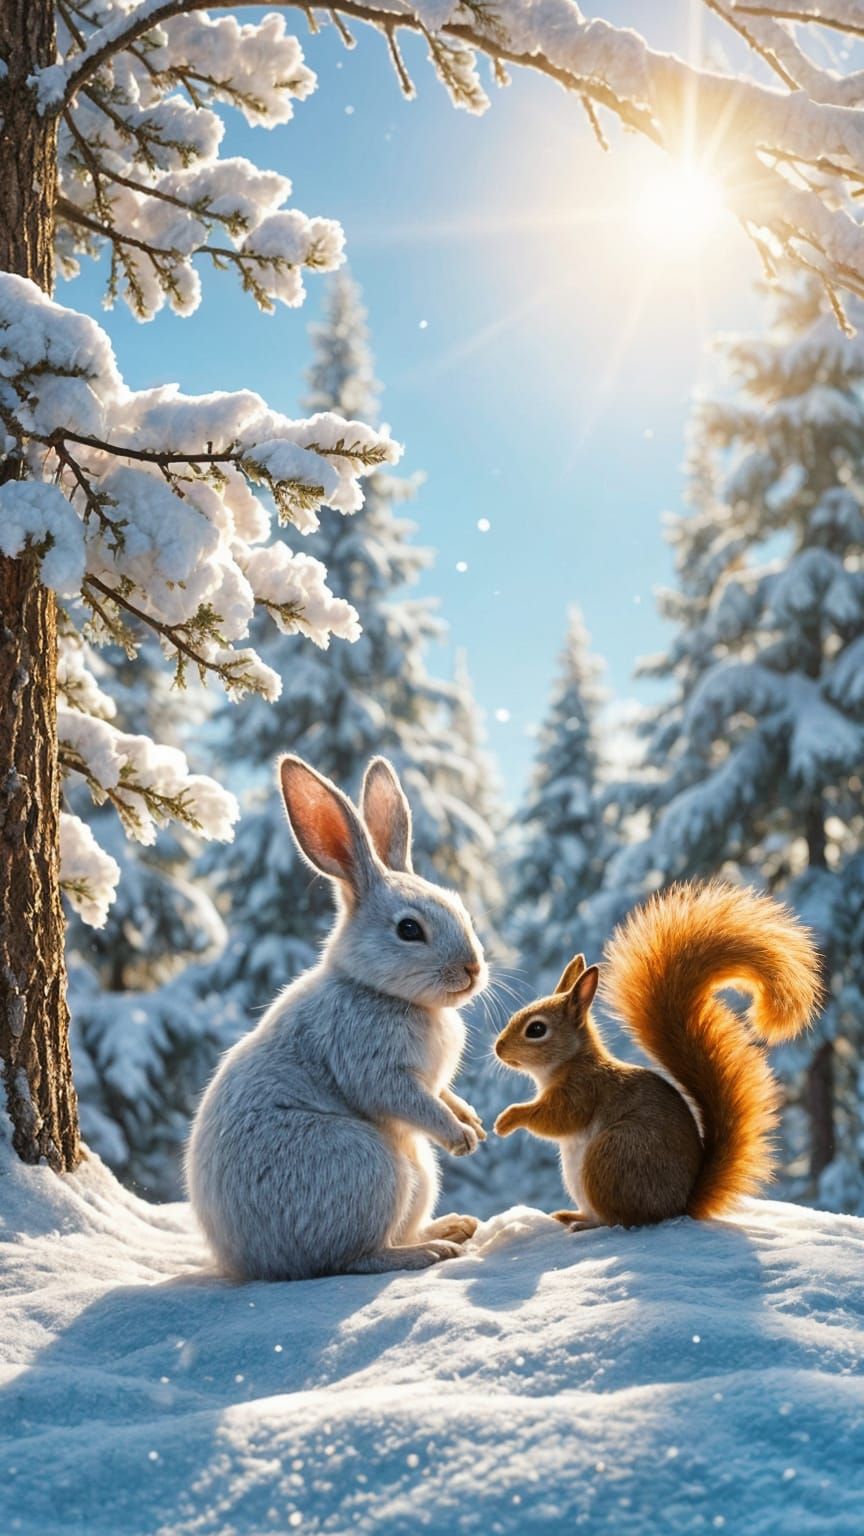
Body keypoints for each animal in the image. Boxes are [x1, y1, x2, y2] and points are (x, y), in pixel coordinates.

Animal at [186, 753, 489, 1281]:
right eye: (409, 929)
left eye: (460, 909)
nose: (472, 969)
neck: (378, 991)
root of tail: (246, 1260)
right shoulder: (374, 1066)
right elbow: (411, 1101)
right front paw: (464, 1138)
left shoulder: (430, 1082)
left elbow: (445, 1096)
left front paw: (474, 1119)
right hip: (369, 1167)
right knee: (352, 1259)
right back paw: (428, 1252)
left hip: (414, 1174)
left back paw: (452, 1228)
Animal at [493, 882, 822, 1230]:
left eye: (536, 1029)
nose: (499, 1049)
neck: (569, 1063)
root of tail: (678, 1207)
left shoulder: (584, 1090)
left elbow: (556, 1118)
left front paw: (509, 1119)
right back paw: (573, 1214)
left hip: (614, 1153)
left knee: (620, 1219)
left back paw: (588, 1223)